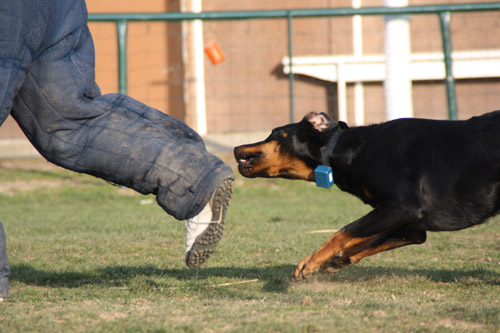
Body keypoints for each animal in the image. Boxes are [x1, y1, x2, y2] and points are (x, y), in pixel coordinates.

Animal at [233, 111, 500, 280]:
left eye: (274, 133)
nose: (236, 147)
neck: (345, 150)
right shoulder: (407, 224)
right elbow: (363, 240)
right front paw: (335, 261)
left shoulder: (402, 207)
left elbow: (343, 232)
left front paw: (311, 262)